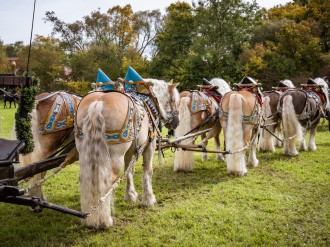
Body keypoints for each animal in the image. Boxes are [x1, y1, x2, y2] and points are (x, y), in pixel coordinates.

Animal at [74, 80, 179, 229]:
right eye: (174, 100)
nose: (176, 122)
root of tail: (97, 103)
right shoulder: (150, 146)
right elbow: (148, 171)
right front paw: (149, 199)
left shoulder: (129, 151)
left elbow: (129, 172)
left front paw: (130, 195)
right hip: (115, 156)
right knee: (107, 182)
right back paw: (104, 220)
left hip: (85, 152)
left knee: (86, 179)